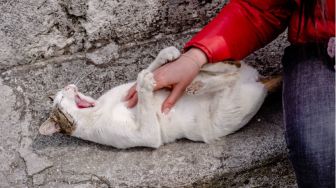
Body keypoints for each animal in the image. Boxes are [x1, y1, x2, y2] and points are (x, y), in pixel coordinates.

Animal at [39, 46, 276, 148]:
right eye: (61, 99)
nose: (69, 85)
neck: (97, 108)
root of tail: (259, 81)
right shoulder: (148, 136)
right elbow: (143, 100)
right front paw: (145, 83)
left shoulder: (127, 93)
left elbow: (144, 72)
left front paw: (164, 57)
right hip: (223, 111)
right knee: (229, 79)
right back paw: (198, 86)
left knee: (231, 67)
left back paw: (196, 63)